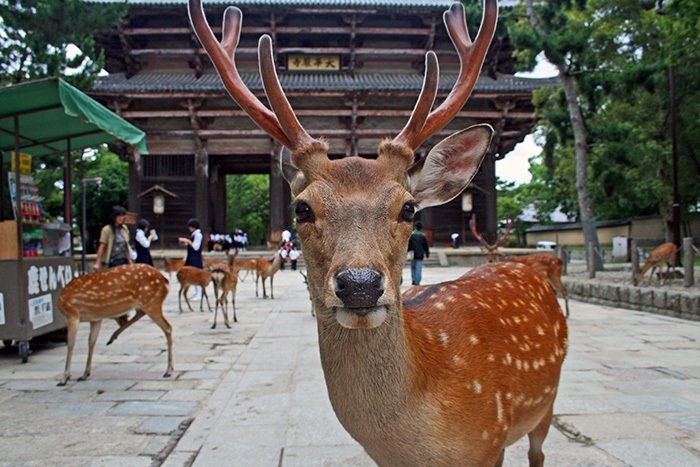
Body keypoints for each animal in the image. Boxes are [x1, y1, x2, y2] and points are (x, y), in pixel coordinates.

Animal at [189, 0, 568, 466]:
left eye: (408, 208)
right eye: (302, 208)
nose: (359, 285)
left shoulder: (490, 442)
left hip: (546, 405)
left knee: (538, 452)